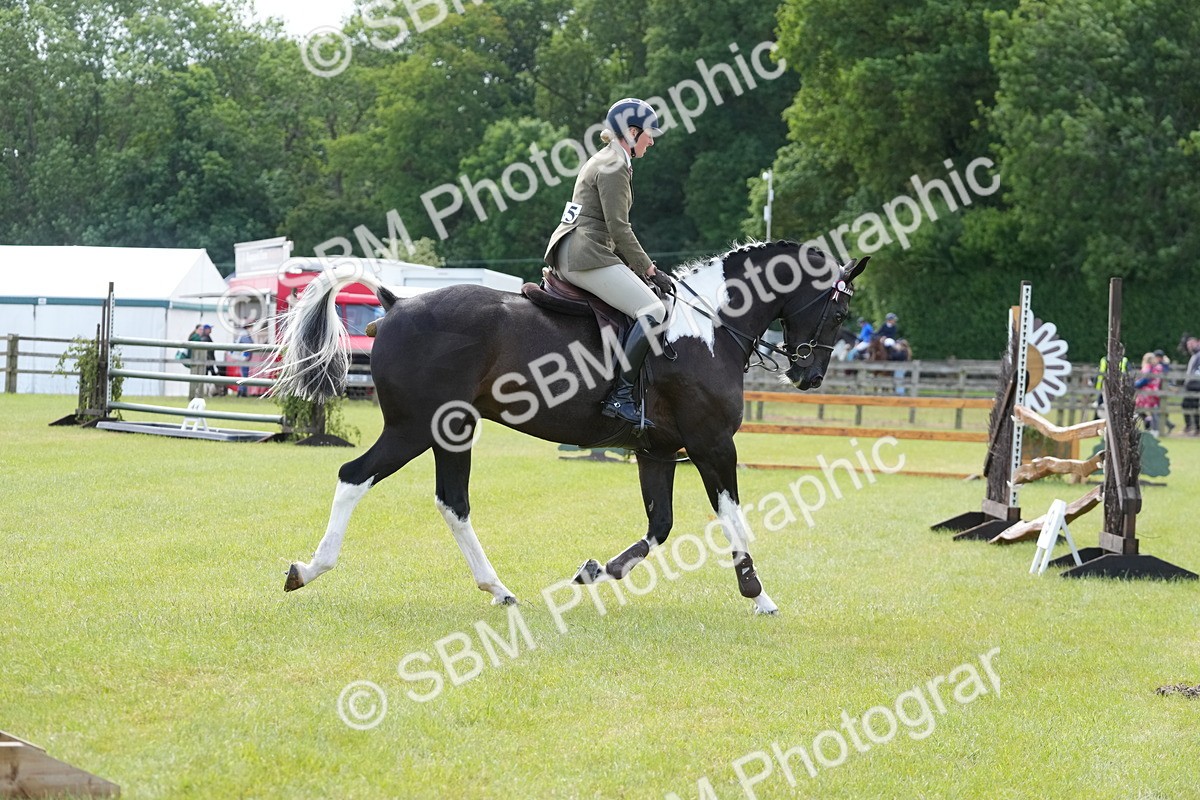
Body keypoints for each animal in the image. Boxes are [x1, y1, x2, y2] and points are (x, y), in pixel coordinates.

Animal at [276, 241, 868, 614]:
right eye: (840, 313)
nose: (810, 376)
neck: (708, 329)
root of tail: (397, 301)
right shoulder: (713, 446)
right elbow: (732, 520)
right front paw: (758, 595)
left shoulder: (658, 452)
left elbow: (659, 527)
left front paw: (597, 571)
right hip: (413, 428)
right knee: (355, 476)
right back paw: (309, 568)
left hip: (452, 429)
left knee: (453, 502)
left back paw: (498, 588)